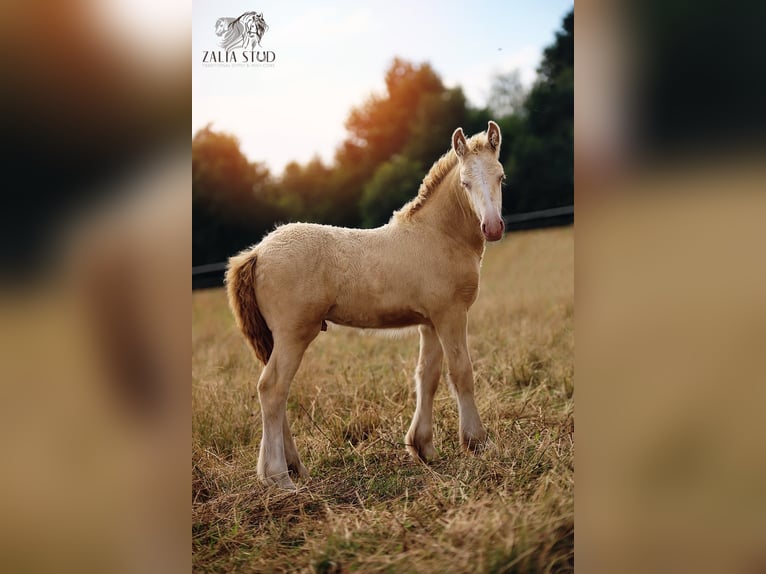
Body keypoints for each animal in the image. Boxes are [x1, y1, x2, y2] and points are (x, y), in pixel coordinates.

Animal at [225, 121, 508, 490]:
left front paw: (423, 447)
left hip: (275, 338)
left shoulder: (430, 321)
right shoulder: (451, 315)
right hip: (293, 334)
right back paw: (278, 477)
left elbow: (427, 376)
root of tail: (257, 252)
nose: (492, 227)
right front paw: (477, 443)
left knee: (277, 393)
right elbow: (461, 372)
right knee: (272, 388)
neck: (438, 235)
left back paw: (295, 468)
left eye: (501, 176)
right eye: (465, 182)